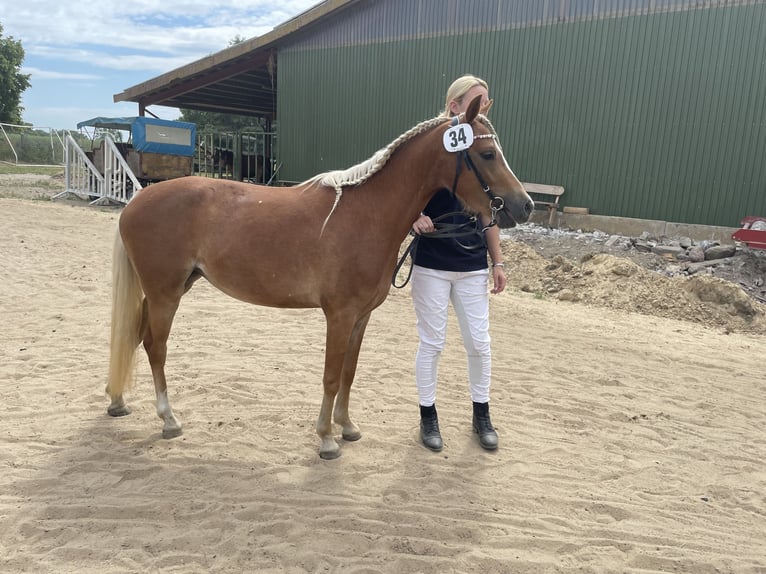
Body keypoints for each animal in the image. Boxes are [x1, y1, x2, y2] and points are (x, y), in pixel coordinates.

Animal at [108, 98, 536, 460]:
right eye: (486, 154)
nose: (524, 206)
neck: (367, 214)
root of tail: (136, 201)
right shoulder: (340, 315)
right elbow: (331, 376)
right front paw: (327, 438)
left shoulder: (361, 317)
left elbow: (348, 372)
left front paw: (347, 426)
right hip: (165, 294)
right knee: (155, 347)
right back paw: (168, 419)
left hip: (172, 289)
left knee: (134, 336)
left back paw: (118, 401)